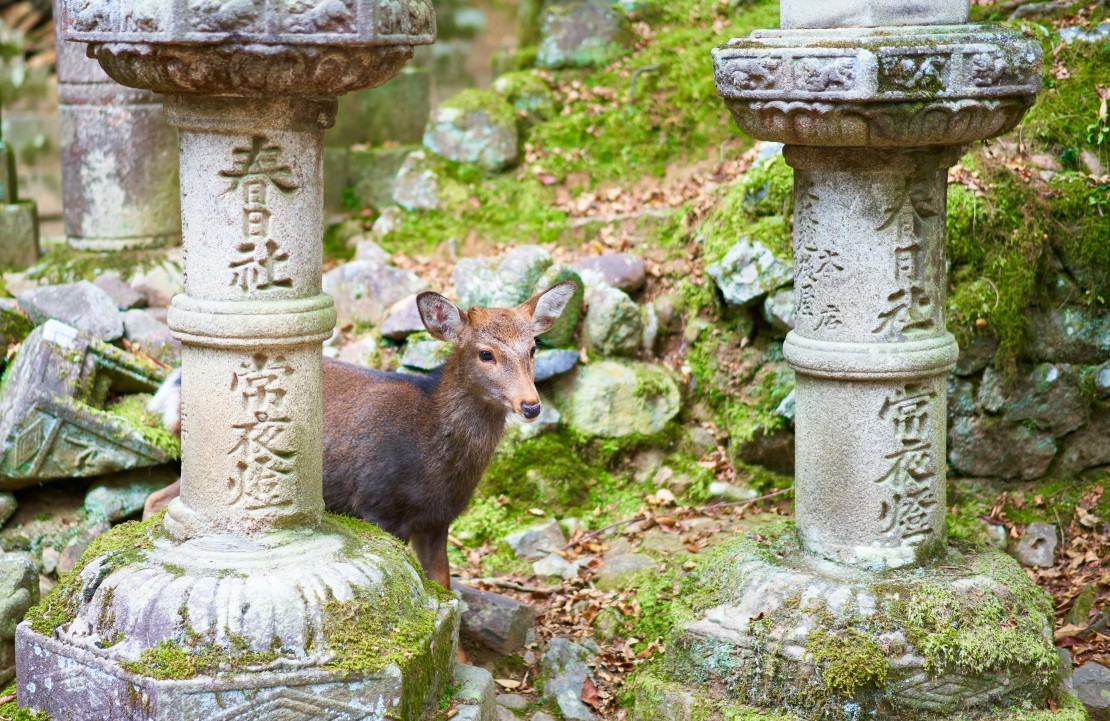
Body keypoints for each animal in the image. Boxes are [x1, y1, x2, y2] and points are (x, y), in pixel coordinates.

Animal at [143, 279, 577, 590]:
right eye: (486, 353)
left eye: (533, 348)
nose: (531, 405)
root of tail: (173, 389)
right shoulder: (377, 503)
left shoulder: (438, 519)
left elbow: (444, 586)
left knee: (155, 496)